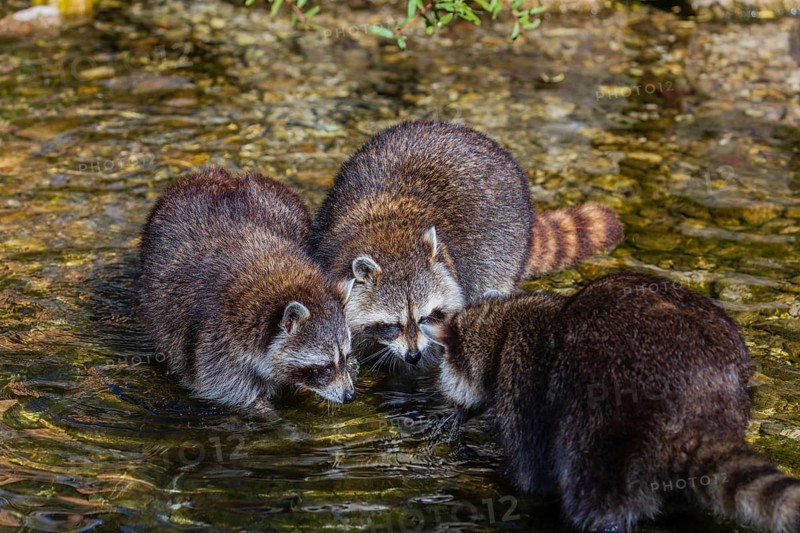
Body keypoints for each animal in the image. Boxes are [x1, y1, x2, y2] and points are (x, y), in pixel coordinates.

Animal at [138, 168, 357, 413]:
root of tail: (225, 175)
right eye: (323, 367)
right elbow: (232, 394)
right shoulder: (216, 343)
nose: (350, 396)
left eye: (345, 356)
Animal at [437, 272, 800, 533]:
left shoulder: (522, 378)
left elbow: (531, 469)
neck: (503, 325)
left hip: (605, 413)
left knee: (592, 488)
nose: (453, 416)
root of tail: (696, 404)